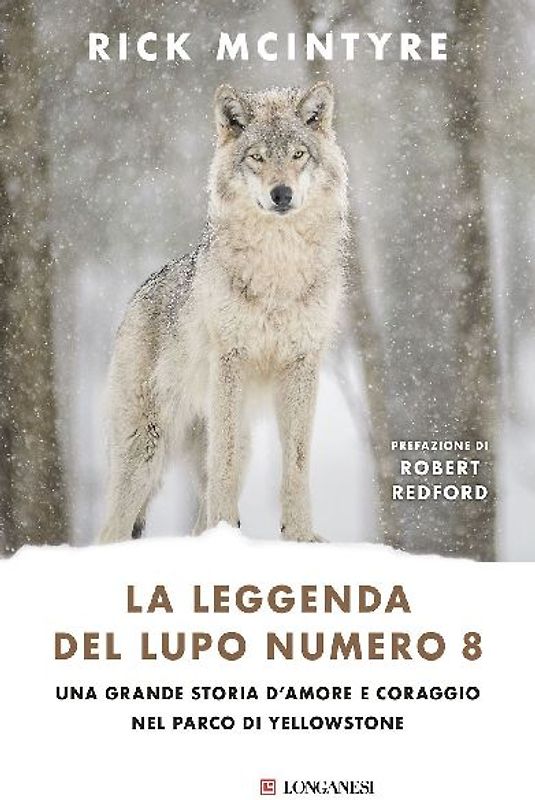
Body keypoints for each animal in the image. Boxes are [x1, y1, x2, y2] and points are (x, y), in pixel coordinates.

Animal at [98, 81, 348, 544]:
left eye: (298, 154)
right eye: (257, 157)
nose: (281, 193)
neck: (278, 271)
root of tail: (133, 301)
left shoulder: (304, 363)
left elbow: (297, 463)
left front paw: (301, 535)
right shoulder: (230, 359)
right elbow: (224, 462)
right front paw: (227, 529)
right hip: (144, 452)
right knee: (112, 529)